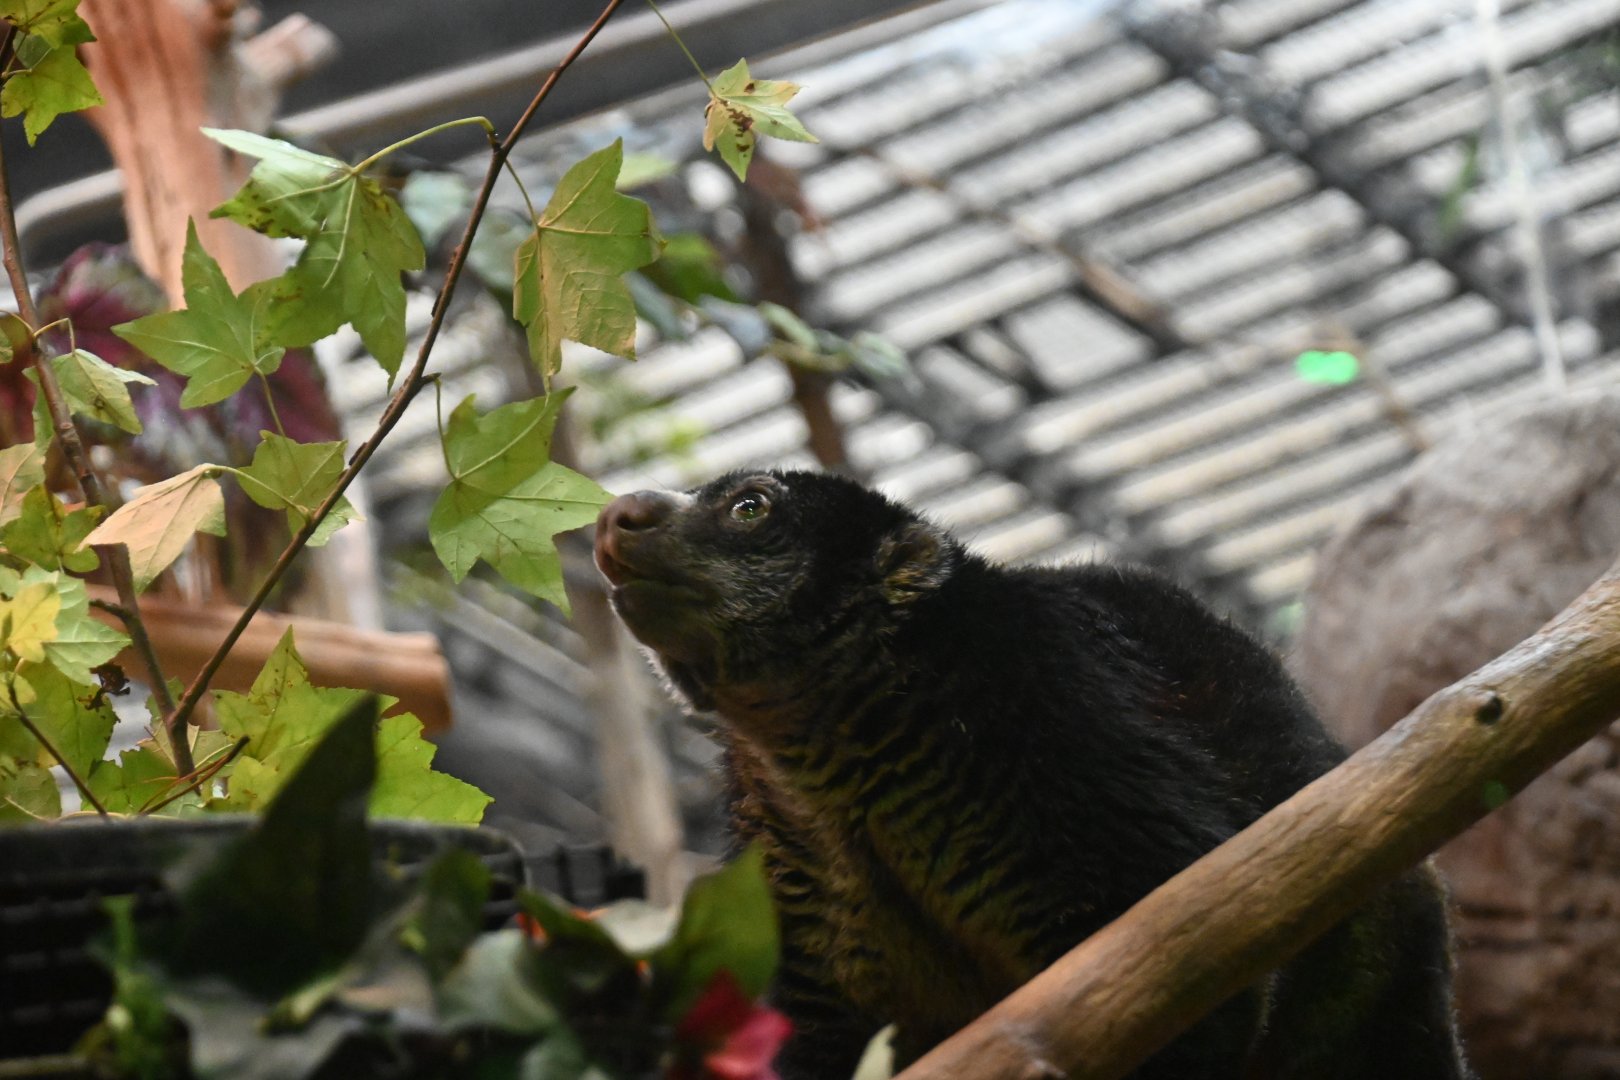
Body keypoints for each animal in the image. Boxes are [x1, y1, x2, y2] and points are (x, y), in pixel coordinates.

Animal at [593, 468, 1471, 1079]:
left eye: (750, 508)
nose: (618, 513)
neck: (833, 762)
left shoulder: (1058, 720)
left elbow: (1203, 984)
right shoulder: (791, 861)